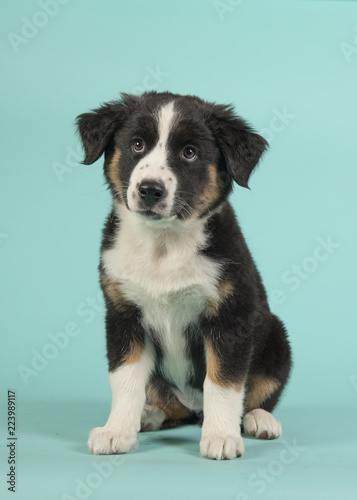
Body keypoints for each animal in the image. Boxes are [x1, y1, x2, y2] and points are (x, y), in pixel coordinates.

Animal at [76, 91, 290, 460]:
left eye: (189, 152)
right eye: (137, 145)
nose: (150, 190)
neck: (163, 246)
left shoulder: (230, 316)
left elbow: (223, 382)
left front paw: (220, 436)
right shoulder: (122, 315)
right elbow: (125, 380)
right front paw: (116, 430)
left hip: (277, 337)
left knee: (256, 395)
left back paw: (259, 421)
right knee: (172, 407)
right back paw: (148, 415)